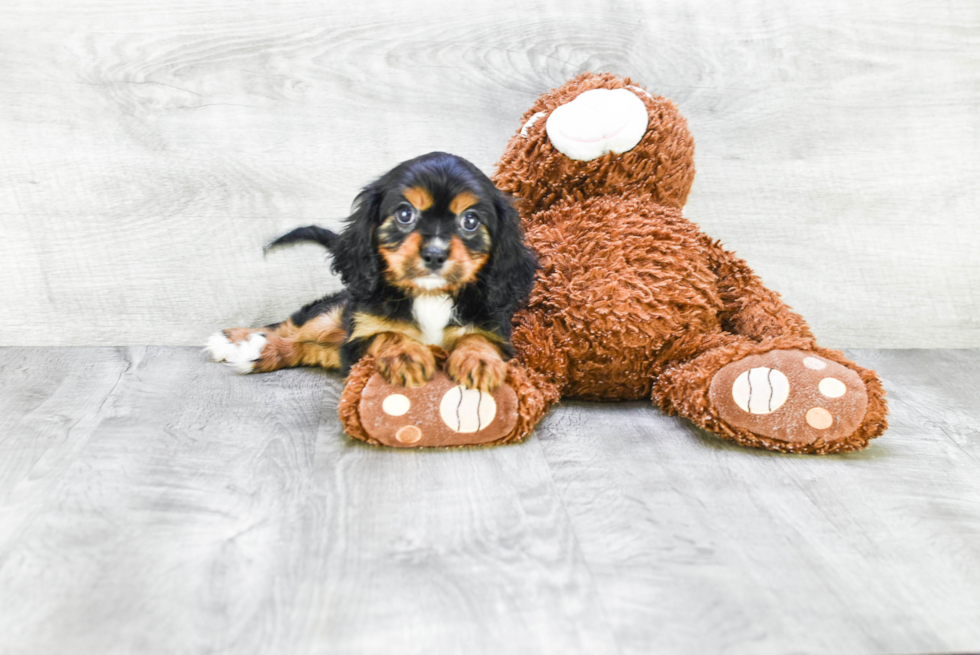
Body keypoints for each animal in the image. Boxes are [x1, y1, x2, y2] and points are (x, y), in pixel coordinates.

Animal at [206, 151, 536, 392]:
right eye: (405, 214)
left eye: (470, 221)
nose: (435, 254)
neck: (429, 296)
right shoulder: (359, 336)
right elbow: (386, 334)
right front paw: (404, 355)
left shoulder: (497, 333)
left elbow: (477, 338)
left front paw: (479, 361)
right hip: (334, 312)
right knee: (290, 327)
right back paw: (238, 341)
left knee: (303, 347)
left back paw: (257, 352)